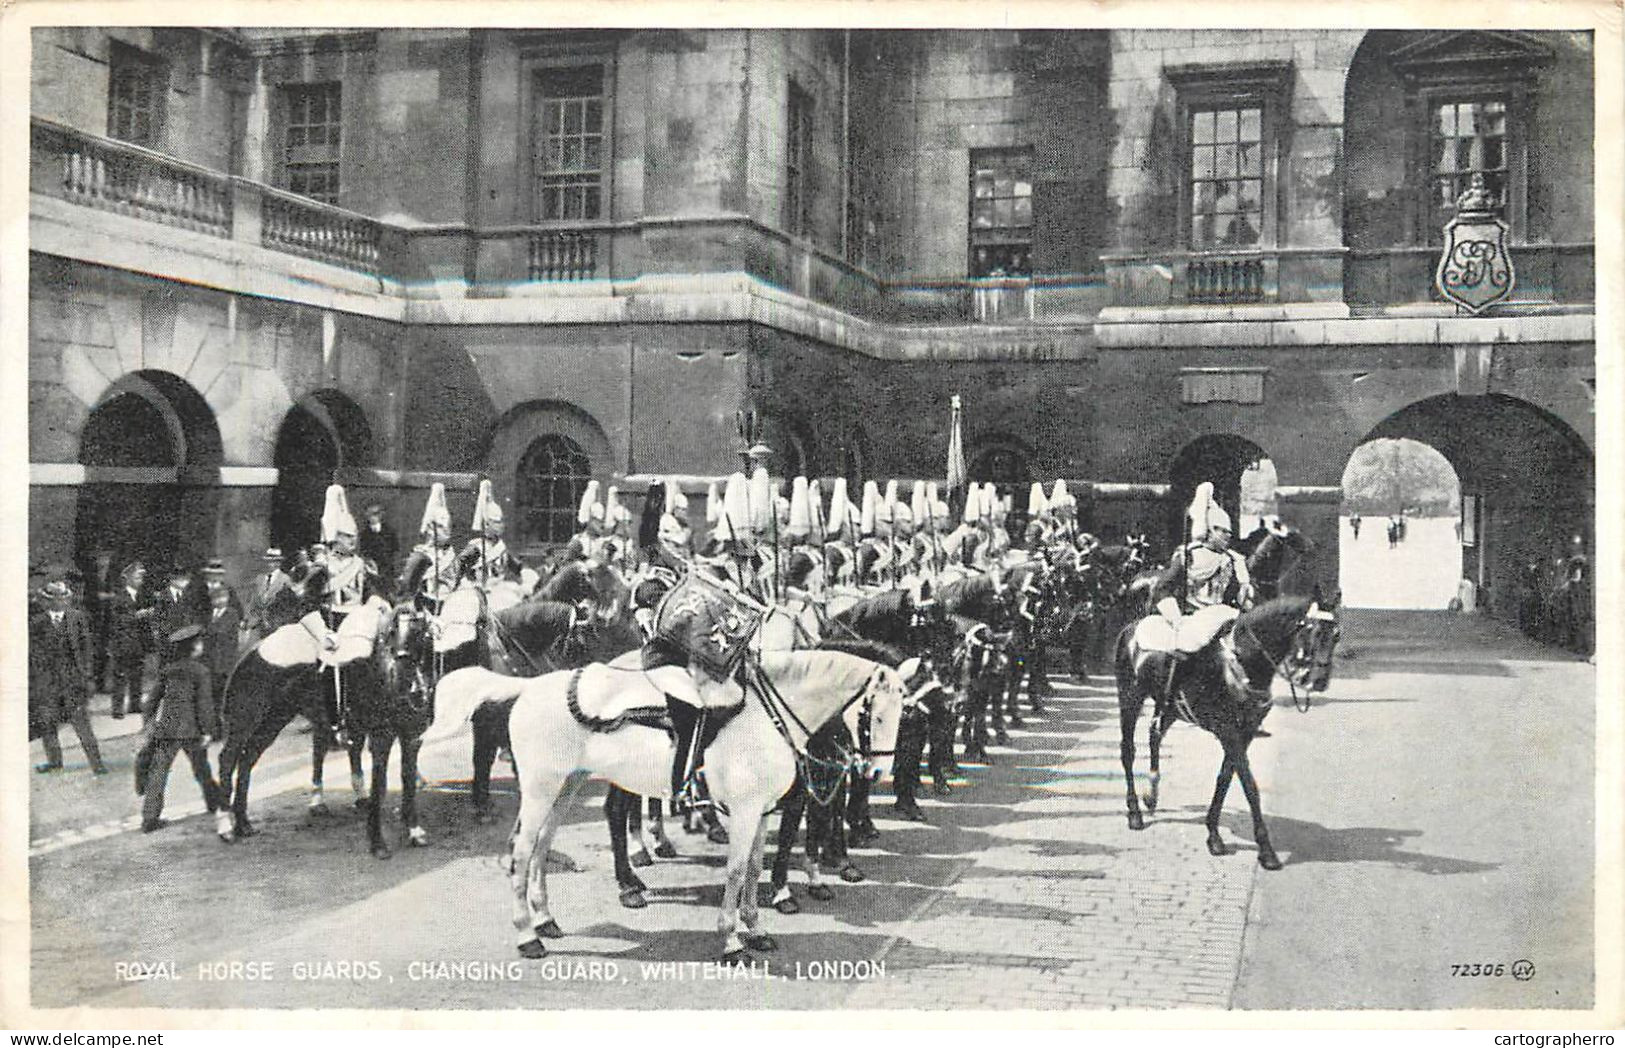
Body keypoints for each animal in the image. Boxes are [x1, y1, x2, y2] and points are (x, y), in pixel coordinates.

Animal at [500, 649, 910, 961]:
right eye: (874, 715)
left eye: (902, 713)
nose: (877, 772)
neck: (767, 717)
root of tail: (530, 687)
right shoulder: (744, 811)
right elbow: (735, 871)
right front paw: (730, 941)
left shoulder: (761, 810)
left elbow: (754, 869)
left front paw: (756, 929)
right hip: (540, 790)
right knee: (522, 852)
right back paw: (527, 936)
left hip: (566, 786)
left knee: (541, 847)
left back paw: (545, 920)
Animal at [1118, 591, 1345, 870]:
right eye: (1310, 630)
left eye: (1336, 635)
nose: (1319, 681)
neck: (1242, 661)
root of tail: (1130, 628)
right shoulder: (1228, 732)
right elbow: (1250, 787)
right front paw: (1266, 851)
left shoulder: (1244, 733)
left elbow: (1225, 778)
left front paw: (1213, 834)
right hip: (1130, 699)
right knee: (1128, 751)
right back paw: (1134, 813)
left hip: (1169, 707)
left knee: (1154, 735)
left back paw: (1151, 795)